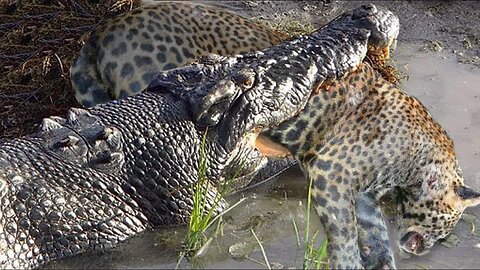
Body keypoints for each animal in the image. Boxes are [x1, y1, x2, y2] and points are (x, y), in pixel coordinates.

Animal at [262, 59, 480, 268]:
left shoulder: (364, 196)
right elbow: (345, 230)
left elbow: (377, 233)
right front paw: (348, 263)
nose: (424, 250)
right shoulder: (332, 174)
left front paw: (383, 263)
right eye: (444, 227)